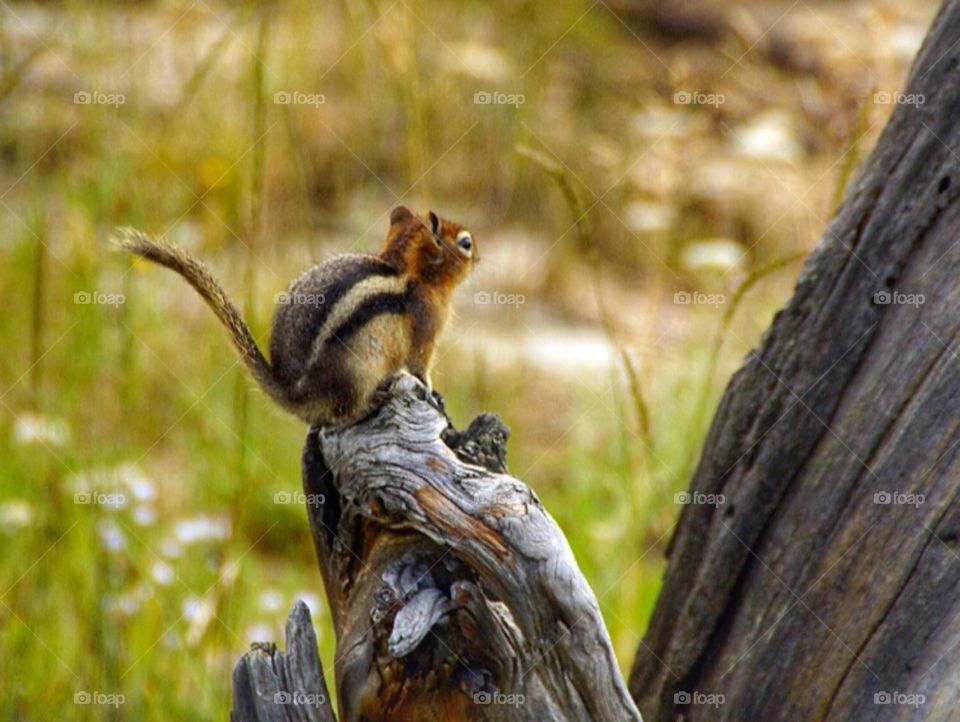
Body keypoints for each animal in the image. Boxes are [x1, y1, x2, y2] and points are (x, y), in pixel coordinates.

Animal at [113, 206, 477, 426]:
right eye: (466, 243)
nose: (479, 256)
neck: (410, 273)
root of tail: (294, 393)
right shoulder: (425, 331)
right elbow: (419, 365)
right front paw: (432, 393)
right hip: (357, 370)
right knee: (344, 415)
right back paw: (375, 400)